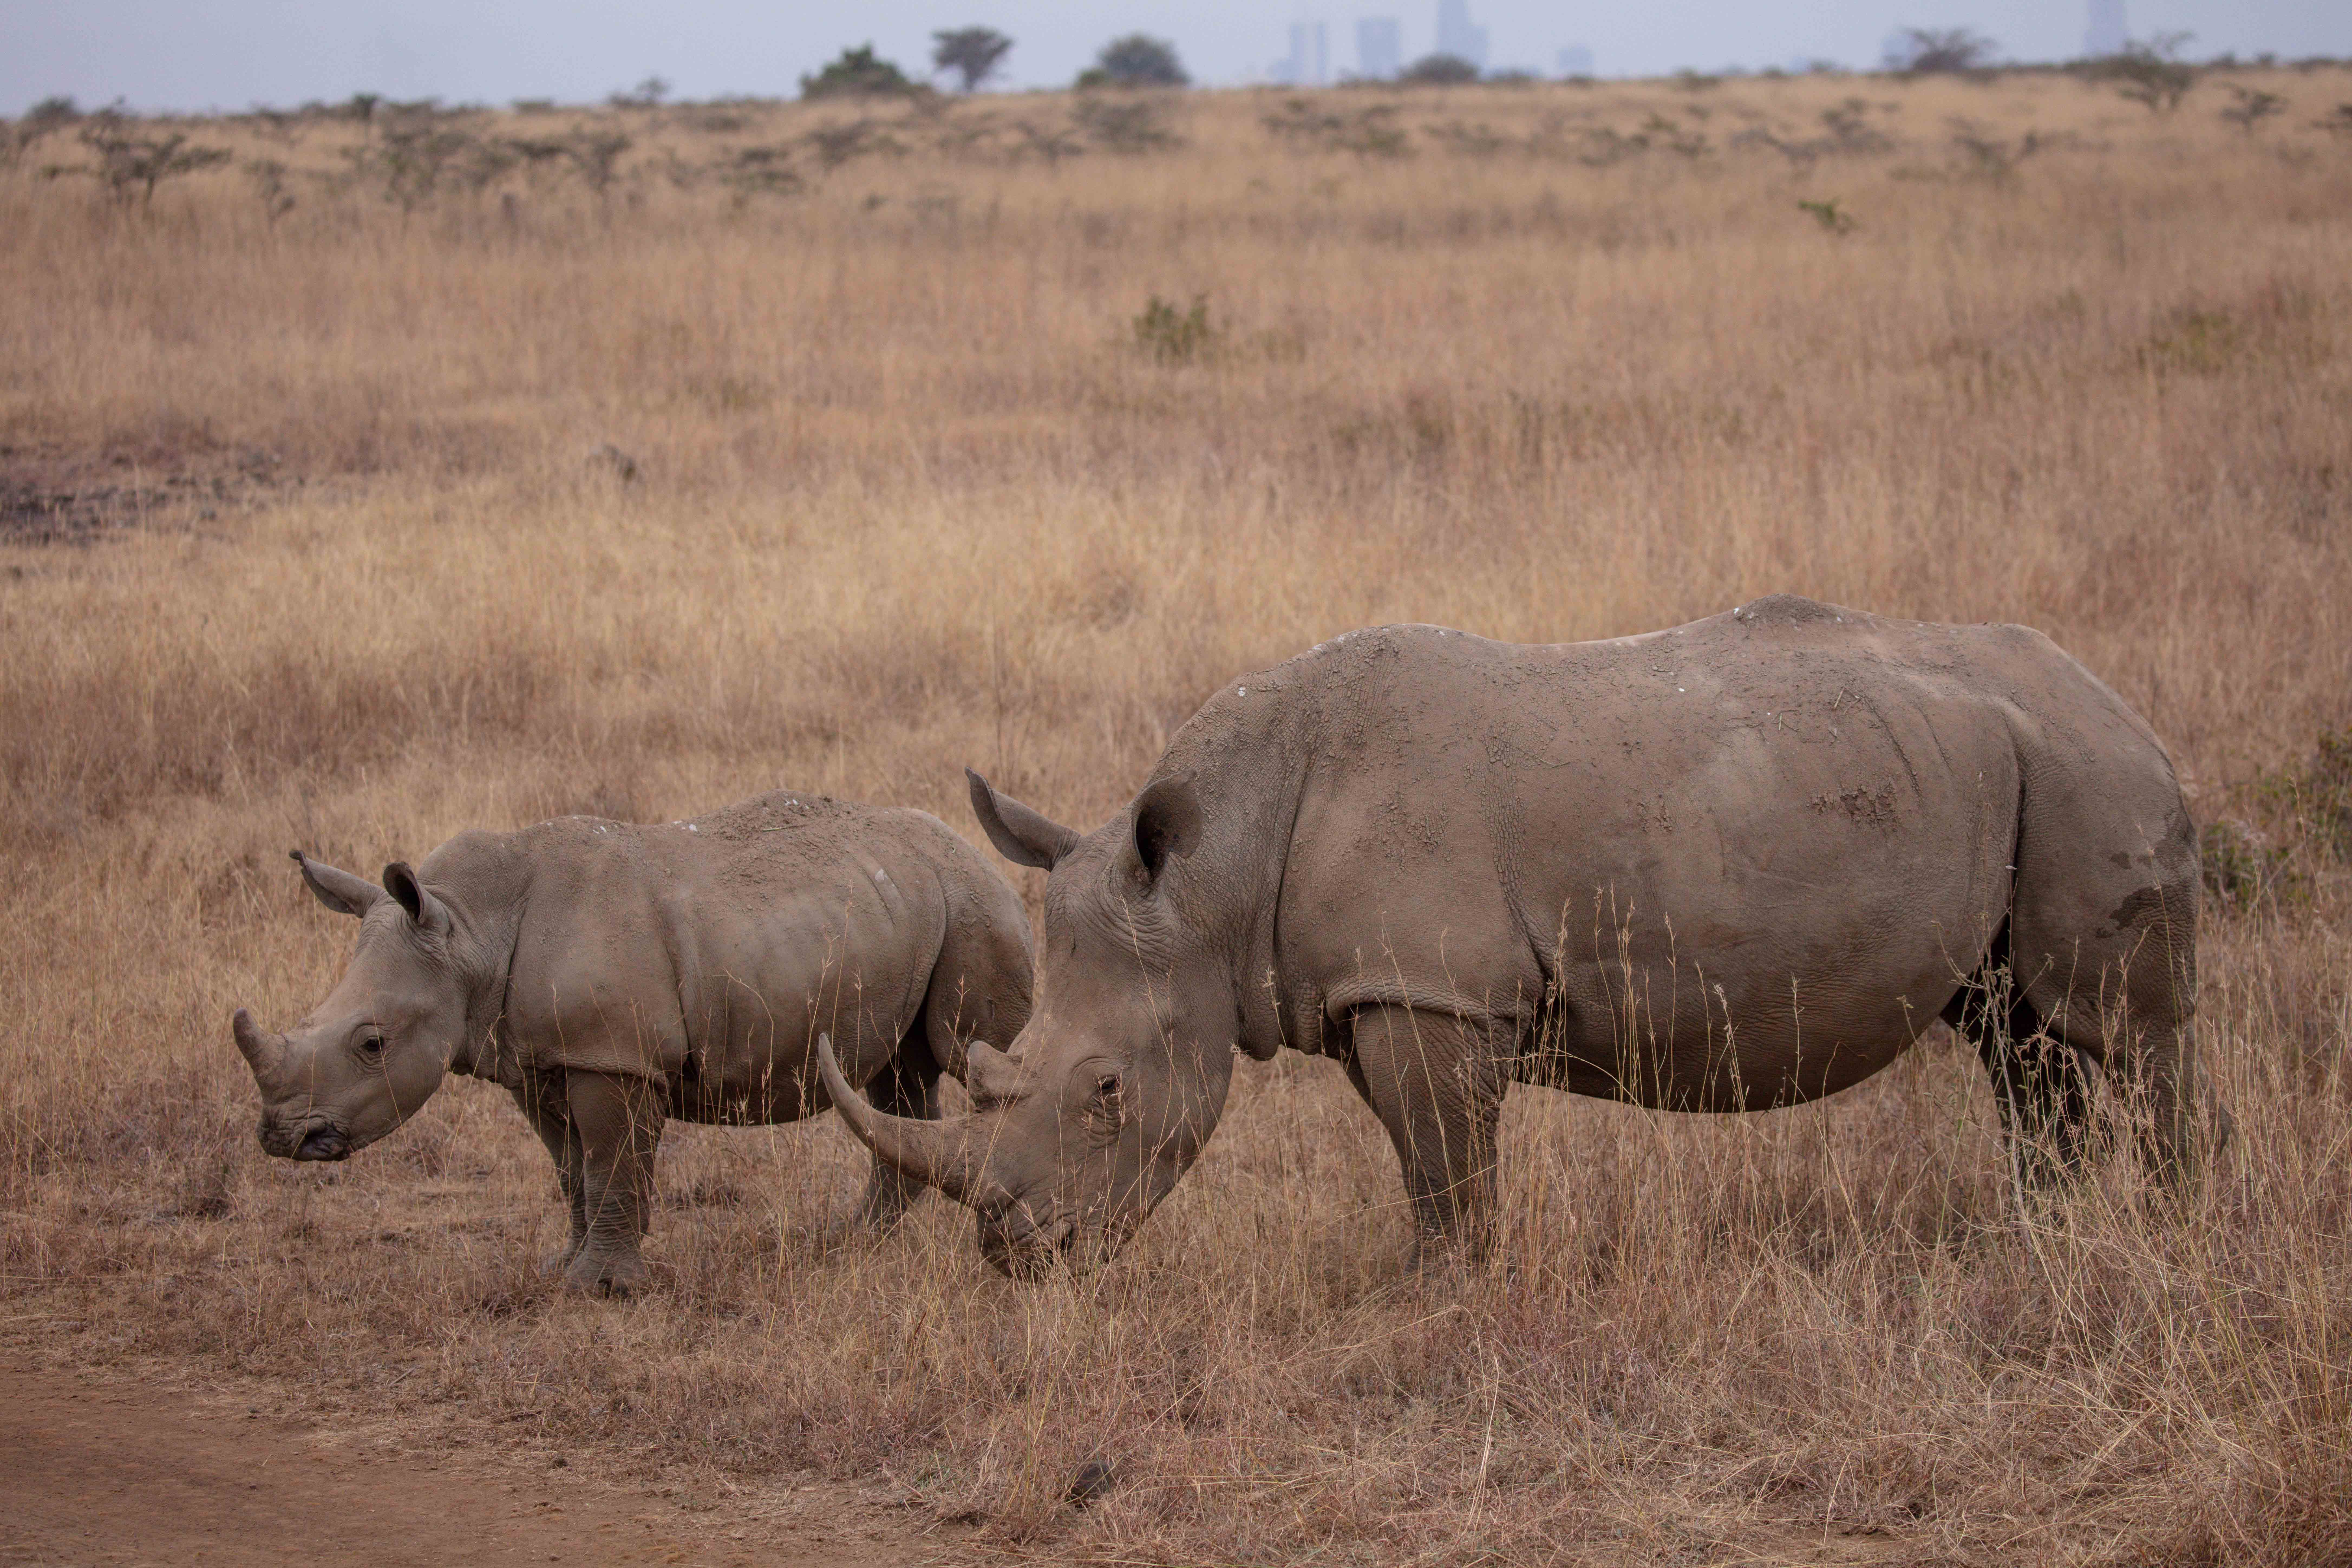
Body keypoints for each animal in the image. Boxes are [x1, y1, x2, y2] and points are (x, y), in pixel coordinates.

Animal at [233, 790, 1033, 1293]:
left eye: (372, 1044)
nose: (282, 1137)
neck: (467, 932)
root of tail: (970, 847)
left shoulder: (612, 1055)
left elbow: (612, 1163)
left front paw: (603, 1289)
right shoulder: (537, 1059)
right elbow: (573, 1170)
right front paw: (564, 1269)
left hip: (974, 906)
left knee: (978, 1052)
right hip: (899, 910)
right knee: (896, 1082)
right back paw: (849, 1242)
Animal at [822, 597, 2226, 1277]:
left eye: (1106, 1090)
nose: (1014, 1255)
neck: (1211, 876)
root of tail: (2121, 701)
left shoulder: (1429, 991)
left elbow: (1446, 1164)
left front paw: (1437, 1296)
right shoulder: (1386, 992)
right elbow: (1422, 1157)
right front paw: (1429, 1279)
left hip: (2090, 772)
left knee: (2124, 1029)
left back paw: (2173, 1227)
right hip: (2003, 764)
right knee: (2016, 1037)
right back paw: (2040, 1238)